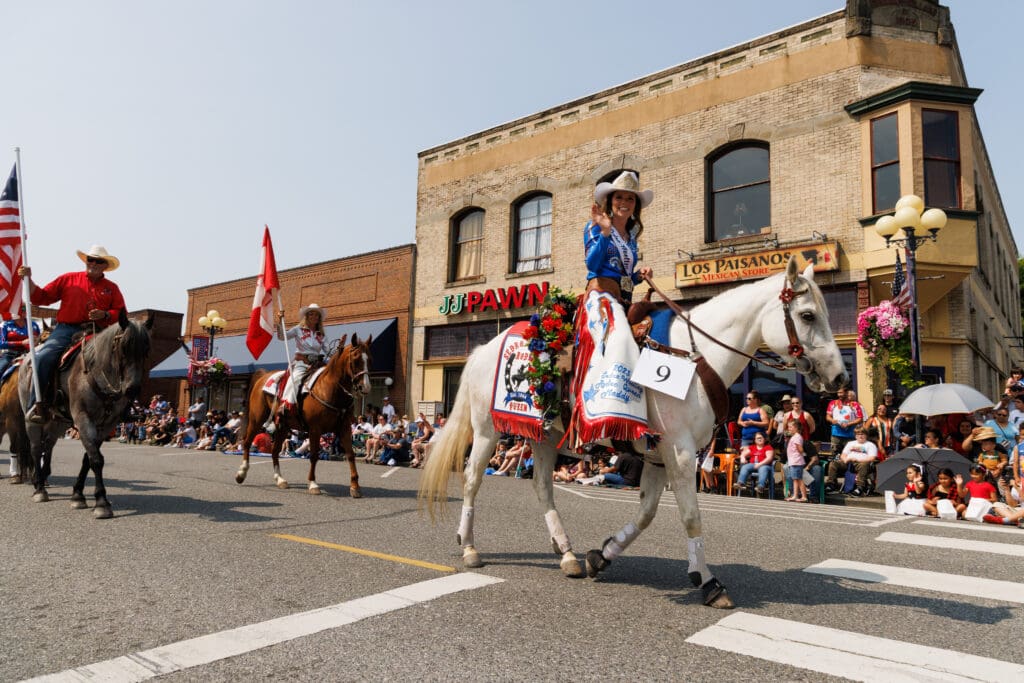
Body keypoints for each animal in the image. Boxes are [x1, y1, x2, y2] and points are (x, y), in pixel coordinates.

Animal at [18, 313, 150, 518]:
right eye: (124, 347)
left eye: (146, 350)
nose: (132, 389)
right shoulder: (83, 418)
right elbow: (96, 459)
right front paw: (102, 502)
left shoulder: (106, 425)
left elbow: (88, 458)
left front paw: (78, 495)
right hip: (32, 419)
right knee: (35, 448)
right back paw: (39, 488)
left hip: (58, 422)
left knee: (48, 446)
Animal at [235, 335, 372, 499]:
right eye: (356, 359)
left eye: (370, 359)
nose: (365, 387)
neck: (330, 390)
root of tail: (263, 376)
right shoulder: (315, 429)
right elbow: (313, 455)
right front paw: (313, 484)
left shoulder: (344, 428)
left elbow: (350, 455)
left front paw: (355, 486)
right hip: (257, 419)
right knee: (247, 442)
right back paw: (241, 473)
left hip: (283, 426)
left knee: (274, 451)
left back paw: (280, 479)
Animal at [415, 258, 847, 610]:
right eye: (808, 315)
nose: (840, 378)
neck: (695, 358)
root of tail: (482, 349)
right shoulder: (679, 453)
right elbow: (690, 517)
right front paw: (709, 583)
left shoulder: (658, 455)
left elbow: (646, 514)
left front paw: (600, 556)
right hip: (487, 430)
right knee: (472, 479)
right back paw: (470, 547)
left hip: (544, 436)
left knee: (542, 487)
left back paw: (567, 554)